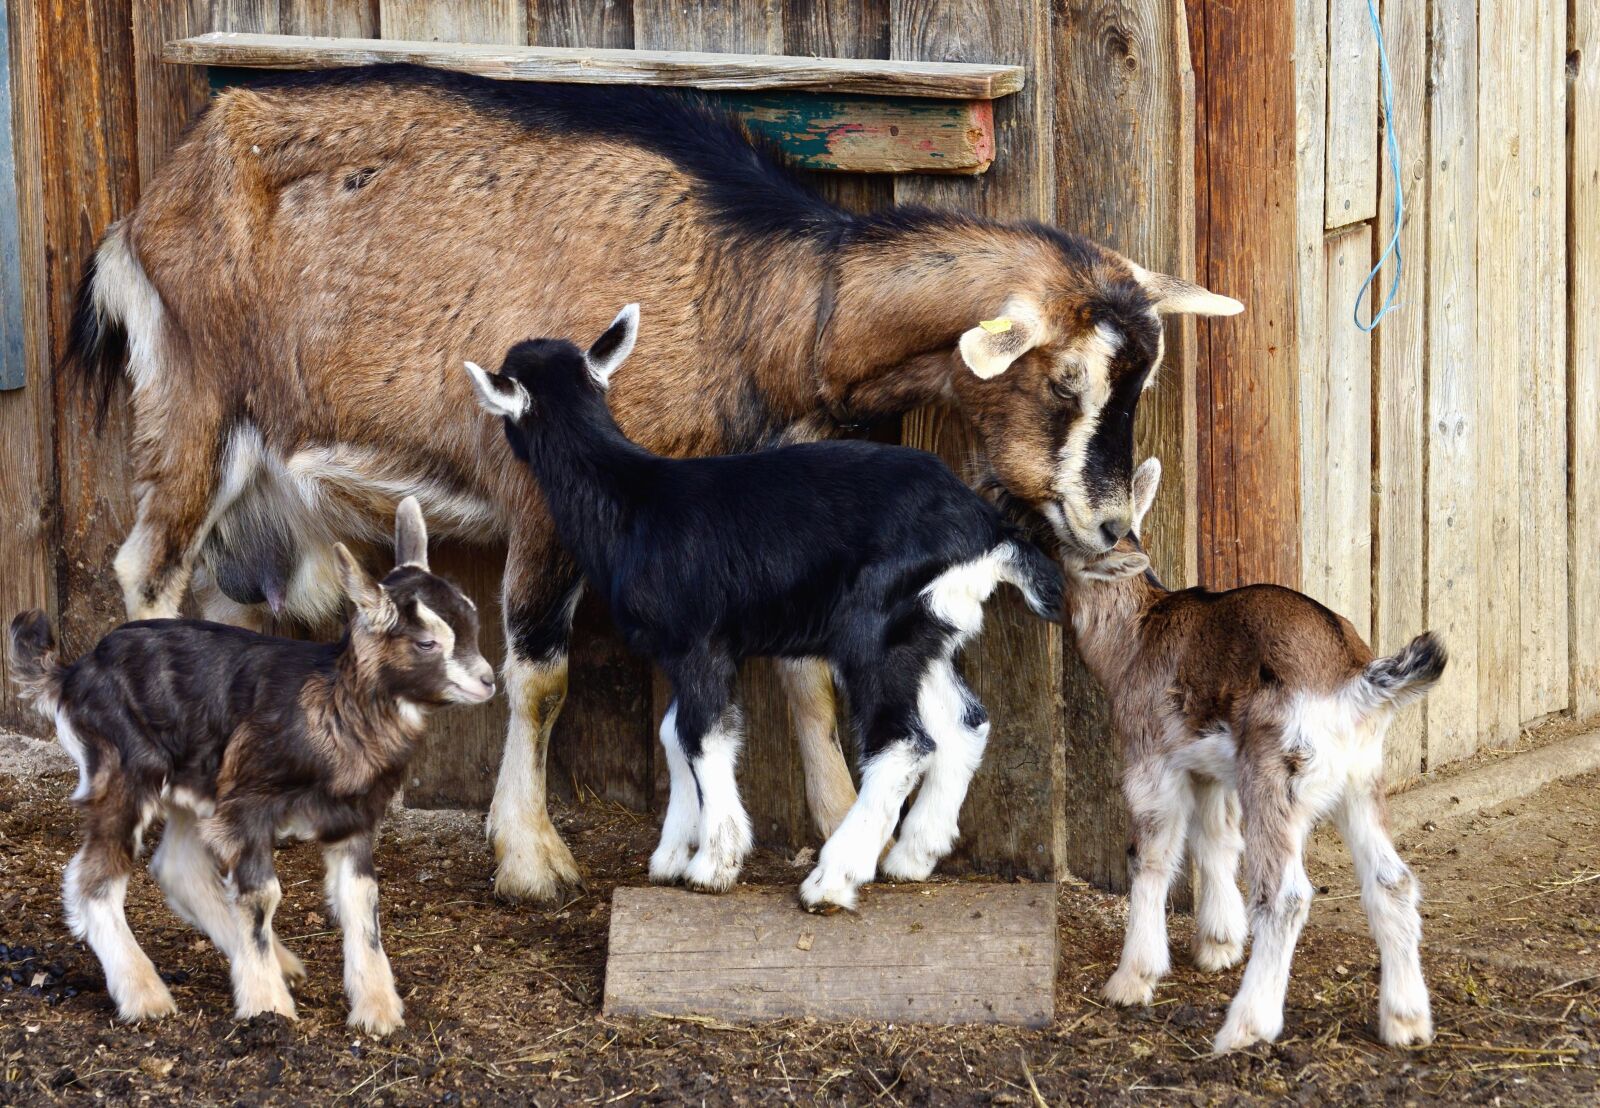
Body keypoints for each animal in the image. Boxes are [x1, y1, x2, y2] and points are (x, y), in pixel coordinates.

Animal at [6, 499, 493, 1033]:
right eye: (427, 642)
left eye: (472, 623)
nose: (488, 681)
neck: (333, 706)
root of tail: (71, 674)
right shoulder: (247, 807)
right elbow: (262, 897)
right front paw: (267, 1006)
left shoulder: (352, 818)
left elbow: (363, 901)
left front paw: (378, 1010)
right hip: (125, 769)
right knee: (93, 881)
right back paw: (145, 995)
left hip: (195, 782)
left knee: (176, 866)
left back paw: (276, 963)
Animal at [463, 306, 1063, 910]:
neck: (632, 498)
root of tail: (988, 531)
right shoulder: (690, 652)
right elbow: (673, 734)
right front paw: (672, 854)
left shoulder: (697, 643)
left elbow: (701, 736)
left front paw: (714, 864)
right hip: (926, 633)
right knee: (965, 723)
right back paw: (912, 857)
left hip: (875, 633)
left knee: (903, 743)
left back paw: (834, 878)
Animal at [1060, 459, 1443, 1053]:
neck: (1136, 634)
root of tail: (1355, 682)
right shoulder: (1210, 768)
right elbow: (1215, 840)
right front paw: (1218, 944)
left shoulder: (1150, 761)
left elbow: (1150, 856)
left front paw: (1132, 978)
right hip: (1360, 779)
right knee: (1392, 880)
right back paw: (1405, 1021)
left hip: (1275, 776)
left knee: (1285, 896)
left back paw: (1246, 1025)